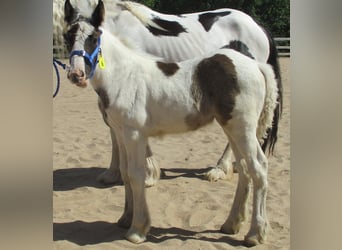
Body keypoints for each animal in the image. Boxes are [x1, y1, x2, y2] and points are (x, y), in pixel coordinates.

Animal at [62, 0, 280, 244]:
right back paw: (231, 224)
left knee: (258, 168)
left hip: (243, 128)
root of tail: (256, 65)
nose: (77, 75)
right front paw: (125, 219)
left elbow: (136, 175)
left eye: (93, 37)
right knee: (244, 169)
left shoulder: (134, 134)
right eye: (67, 36)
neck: (124, 75)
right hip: (233, 129)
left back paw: (255, 234)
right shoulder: (120, 132)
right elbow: (126, 174)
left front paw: (137, 229)